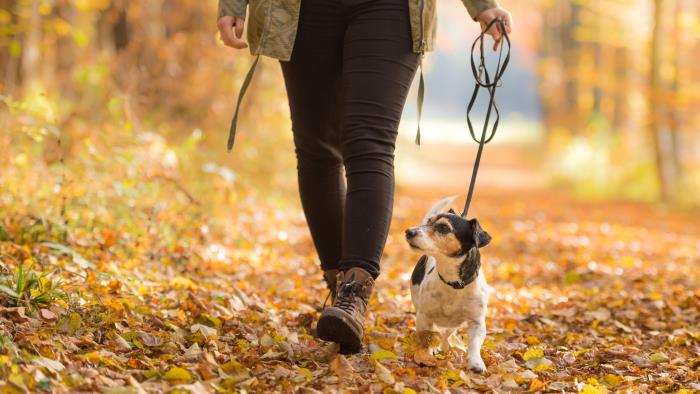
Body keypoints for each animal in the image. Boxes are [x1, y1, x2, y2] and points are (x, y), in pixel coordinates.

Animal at [404, 197, 492, 372]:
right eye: (428, 222)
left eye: (444, 228)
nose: (409, 231)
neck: (453, 284)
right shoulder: (424, 317)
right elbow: (428, 337)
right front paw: (427, 355)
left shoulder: (477, 322)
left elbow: (474, 344)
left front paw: (476, 362)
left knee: (447, 334)